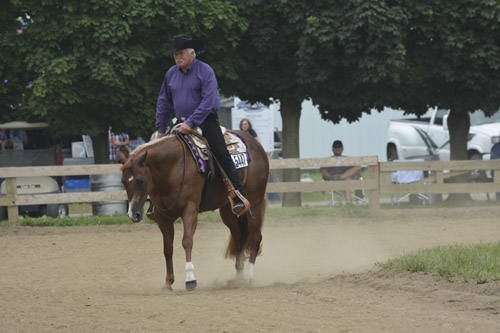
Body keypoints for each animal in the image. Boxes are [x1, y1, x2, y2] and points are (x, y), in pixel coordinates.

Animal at [120, 131, 270, 290]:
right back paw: (238, 279)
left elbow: (187, 241)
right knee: (239, 240)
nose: (133, 214)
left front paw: (190, 279)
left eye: (140, 180)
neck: (172, 167)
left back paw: (248, 277)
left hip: (255, 203)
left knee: (255, 238)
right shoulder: (162, 217)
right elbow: (167, 248)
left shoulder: (189, 211)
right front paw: (168, 282)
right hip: (228, 213)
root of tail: (255, 143)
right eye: (123, 182)